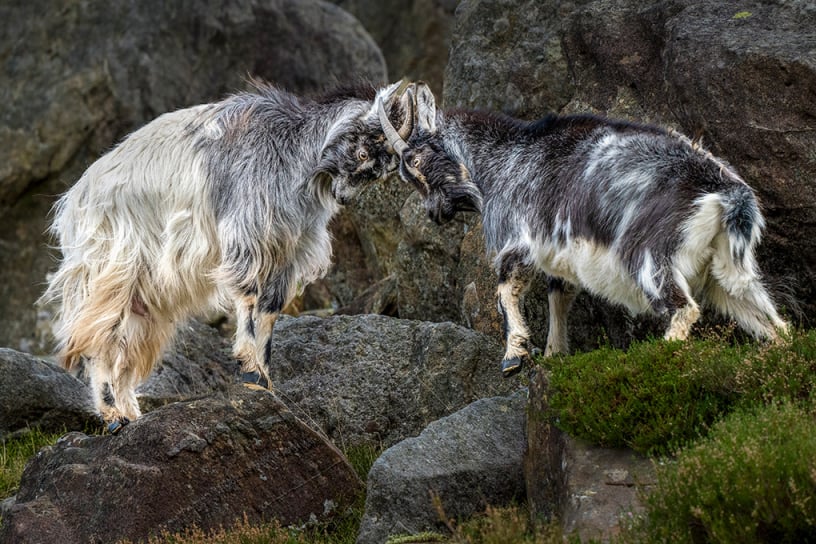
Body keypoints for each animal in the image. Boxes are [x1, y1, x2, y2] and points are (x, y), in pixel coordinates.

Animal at [40, 80, 414, 432]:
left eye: (383, 169)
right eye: (363, 151)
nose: (344, 197)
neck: (293, 152)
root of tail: (74, 201)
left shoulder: (287, 254)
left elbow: (270, 311)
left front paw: (265, 378)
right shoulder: (245, 235)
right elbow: (248, 298)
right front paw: (249, 368)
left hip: (145, 298)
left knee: (125, 349)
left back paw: (131, 413)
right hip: (110, 269)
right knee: (97, 340)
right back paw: (113, 416)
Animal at [380, 83, 788, 377]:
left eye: (414, 161)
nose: (434, 213)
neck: (503, 159)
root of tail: (728, 194)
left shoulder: (519, 239)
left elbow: (504, 292)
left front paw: (513, 357)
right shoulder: (560, 256)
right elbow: (558, 295)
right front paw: (553, 354)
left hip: (648, 257)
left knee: (683, 307)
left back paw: (658, 356)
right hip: (724, 269)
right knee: (770, 320)